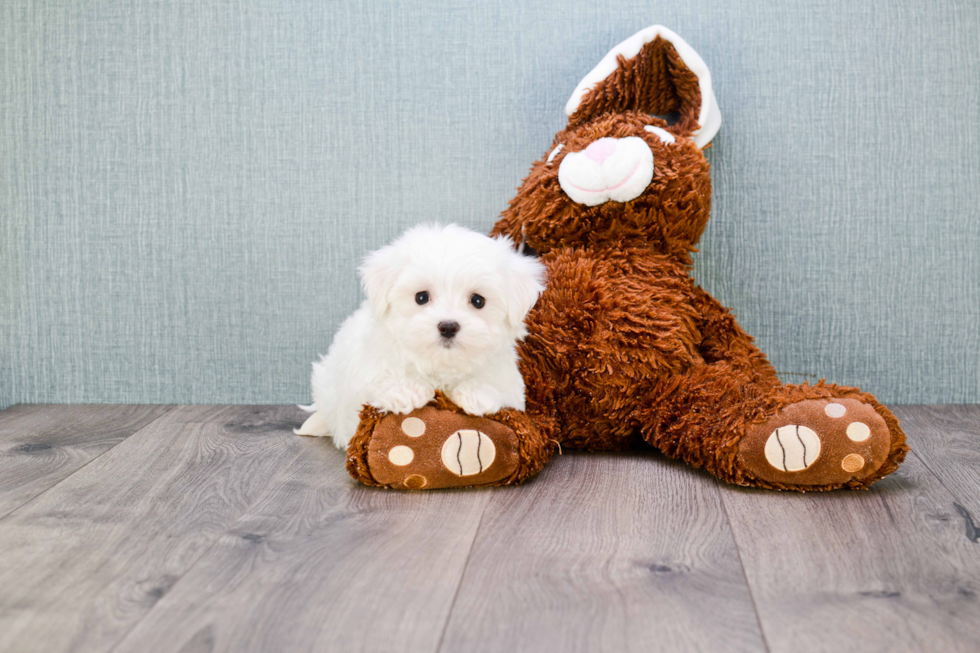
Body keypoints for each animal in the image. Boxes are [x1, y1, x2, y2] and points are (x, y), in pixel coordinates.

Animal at [294, 224, 548, 448]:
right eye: (421, 297)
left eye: (478, 300)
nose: (448, 326)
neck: (439, 365)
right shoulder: (362, 376)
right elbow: (376, 382)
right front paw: (404, 391)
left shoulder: (510, 385)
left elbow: (497, 386)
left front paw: (477, 393)